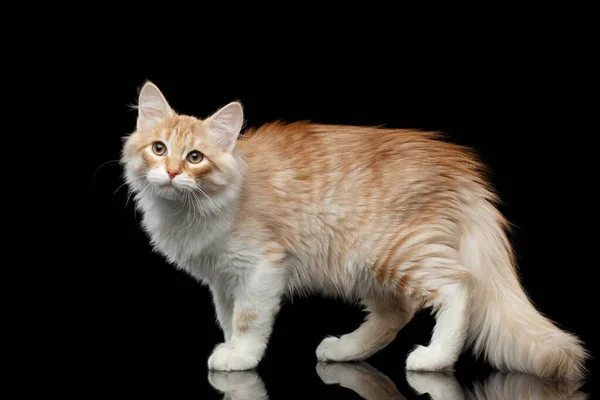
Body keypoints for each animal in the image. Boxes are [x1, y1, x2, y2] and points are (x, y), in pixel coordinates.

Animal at [119, 81, 588, 382]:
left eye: (195, 157)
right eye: (159, 149)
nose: (172, 172)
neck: (189, 212)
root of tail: (459, 166)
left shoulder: (261, 267)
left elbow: (249, 319)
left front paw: (241, 355)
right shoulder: (221, 279)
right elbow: (226, 316)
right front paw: (231, 345)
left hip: (390, 250)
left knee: (459, 286)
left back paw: (435, 359)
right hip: (366, 265)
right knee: (395, 312)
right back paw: (343, 351)